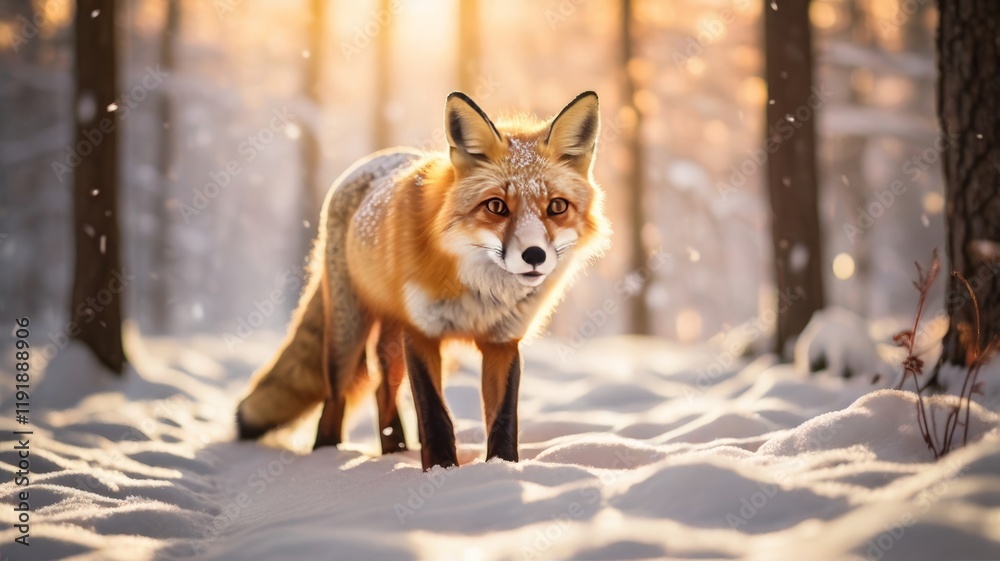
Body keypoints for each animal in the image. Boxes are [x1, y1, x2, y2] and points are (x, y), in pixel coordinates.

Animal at [236, 91, 611, 470]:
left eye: (557, 207)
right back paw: (328, 455)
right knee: (335, 399)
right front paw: (441, 470)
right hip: (348, 334)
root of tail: (374, 159)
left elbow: (503, 418)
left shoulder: (502, 341)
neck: (480, 288)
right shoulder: (422, 332)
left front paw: (502, 468)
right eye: (496, 206)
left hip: (391, 340)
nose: (535, 255)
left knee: (382, 387)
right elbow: (434, 413)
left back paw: (395, 451)